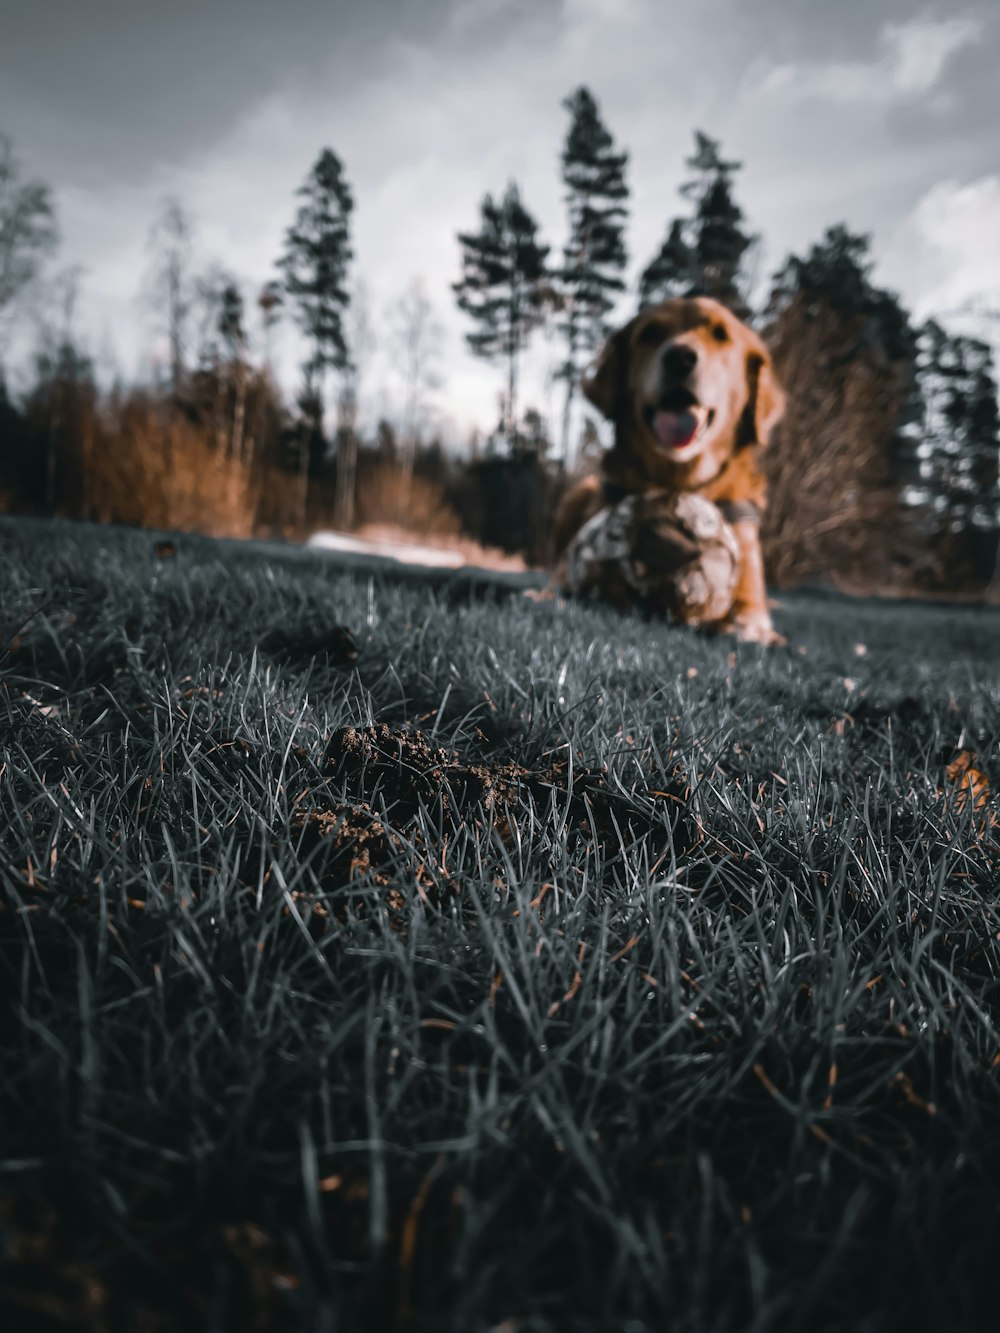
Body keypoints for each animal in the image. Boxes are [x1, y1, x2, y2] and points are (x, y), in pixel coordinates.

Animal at [560, 299, 789, 642]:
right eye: (649, 333)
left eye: (720, 335)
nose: (680, 357)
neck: (680, 478)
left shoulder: (749, 585)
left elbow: (750, 619)